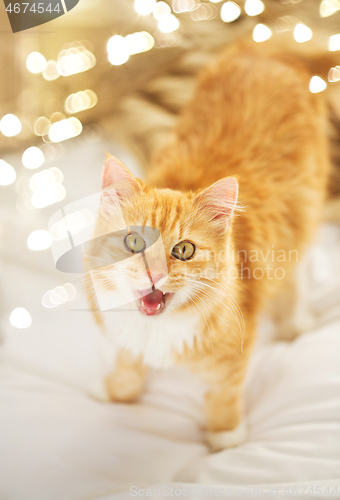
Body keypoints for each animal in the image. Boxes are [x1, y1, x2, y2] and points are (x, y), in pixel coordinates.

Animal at [87, 41, 332, 452]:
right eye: (133, 241)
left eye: (184, 250)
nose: (154, 274)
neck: (160, 328)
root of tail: (269, 50)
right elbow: (127, 360)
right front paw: (119, 391)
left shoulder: (235, 350)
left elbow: (224, 394)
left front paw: (225, 436)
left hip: (304, 208)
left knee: (296, 273)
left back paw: (294, 323)